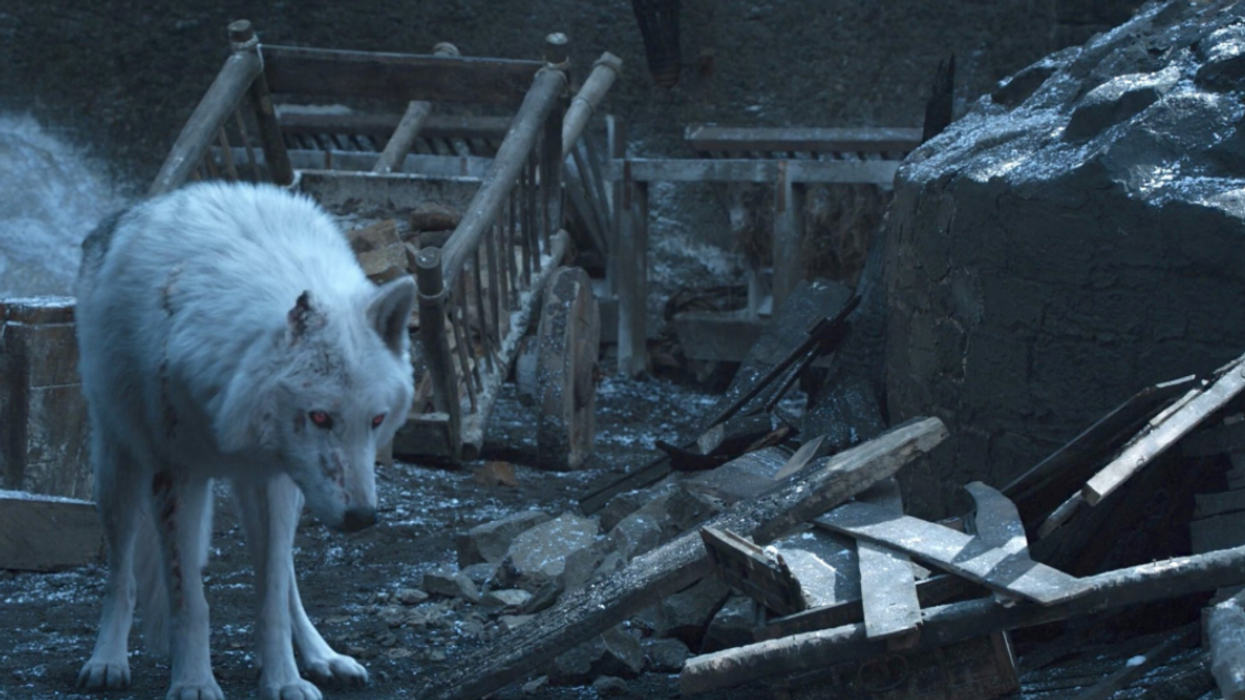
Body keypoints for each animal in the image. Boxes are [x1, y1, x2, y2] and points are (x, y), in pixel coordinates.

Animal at [74, 181, 417, 700]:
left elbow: (272, 596)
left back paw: (321, 657)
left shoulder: (272, 481)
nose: (362, 518)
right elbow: (189, 602)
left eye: (376, 419)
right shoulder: (176, 476)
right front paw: (194, 682)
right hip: (118, 471)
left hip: (293, 491)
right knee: (121, 575)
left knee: (287, 580)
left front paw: (285, 681)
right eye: (319, 416)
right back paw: (107, 660)